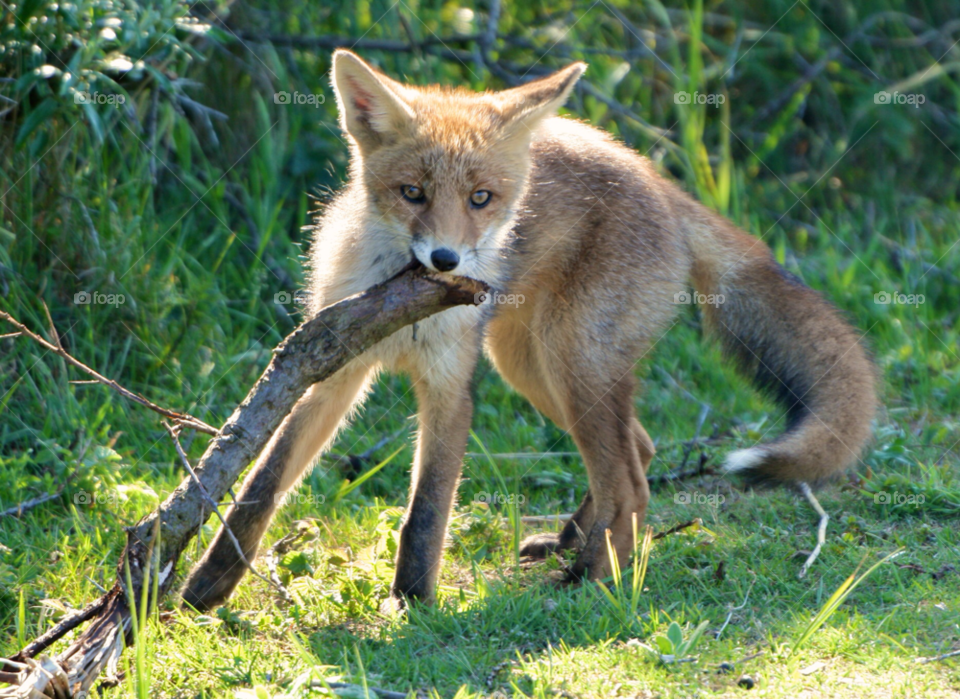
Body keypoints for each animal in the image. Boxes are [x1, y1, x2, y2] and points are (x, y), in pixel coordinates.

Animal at [180, 50, 876, 612]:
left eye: (481, 199)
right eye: (412, 193)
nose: (445, 262)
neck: (402, 307)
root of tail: (659, 182)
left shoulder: (450, 387)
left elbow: (426, 511)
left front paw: (412, 603)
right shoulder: (332, 370)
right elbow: (259, 489)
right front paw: (201, 591)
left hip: (572, 362)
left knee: (628, 483)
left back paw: (592, 580)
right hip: (528, 363)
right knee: (641, 450)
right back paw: (572, 545)